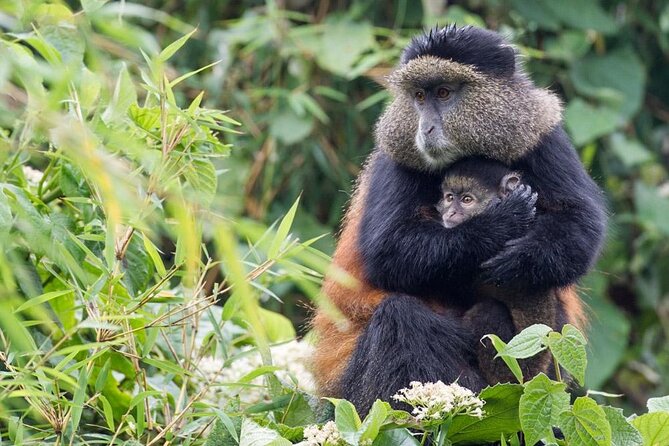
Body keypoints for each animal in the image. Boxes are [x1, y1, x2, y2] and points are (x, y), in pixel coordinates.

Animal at [311, 25, 604, 416]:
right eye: (419, 96)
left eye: (444, 93)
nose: (425, 128)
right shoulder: (395, 157)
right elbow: (388, 251)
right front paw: (498, 226)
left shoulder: (543, 136)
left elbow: (581, 227)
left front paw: (520, 258)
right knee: (399, 317)